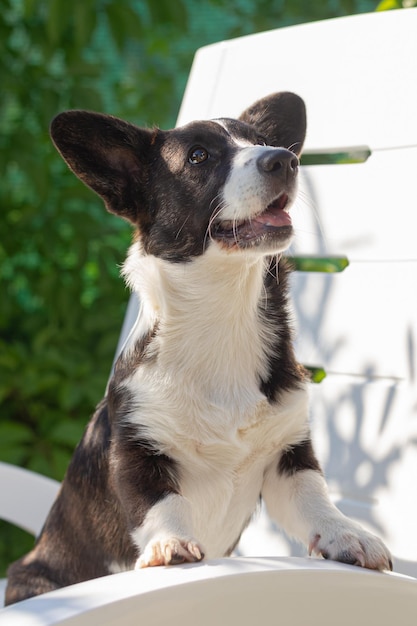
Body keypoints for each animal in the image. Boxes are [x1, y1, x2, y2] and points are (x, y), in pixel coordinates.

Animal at [4, 92, 392, 604]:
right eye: (199, 157)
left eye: (263, 142)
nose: (284, 160)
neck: (222, 314)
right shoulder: (138, 453)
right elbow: (161, 505)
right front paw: (170, 545)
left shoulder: (288, 457)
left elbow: (316, 500)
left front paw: (348, 535)